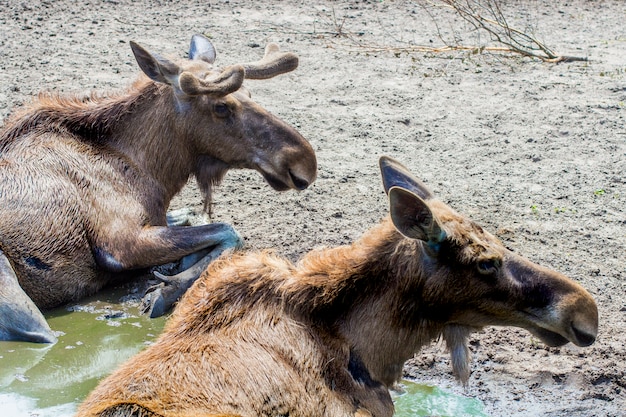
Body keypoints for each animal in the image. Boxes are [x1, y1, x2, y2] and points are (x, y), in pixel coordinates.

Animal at [0, 35, 314, 342]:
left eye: (249, 95)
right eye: (221, 107)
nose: (305, 161)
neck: (152, 172)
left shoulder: (157, 217)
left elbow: (195, 218)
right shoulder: (120, 244)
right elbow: (229, 231)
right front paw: (165, 289)